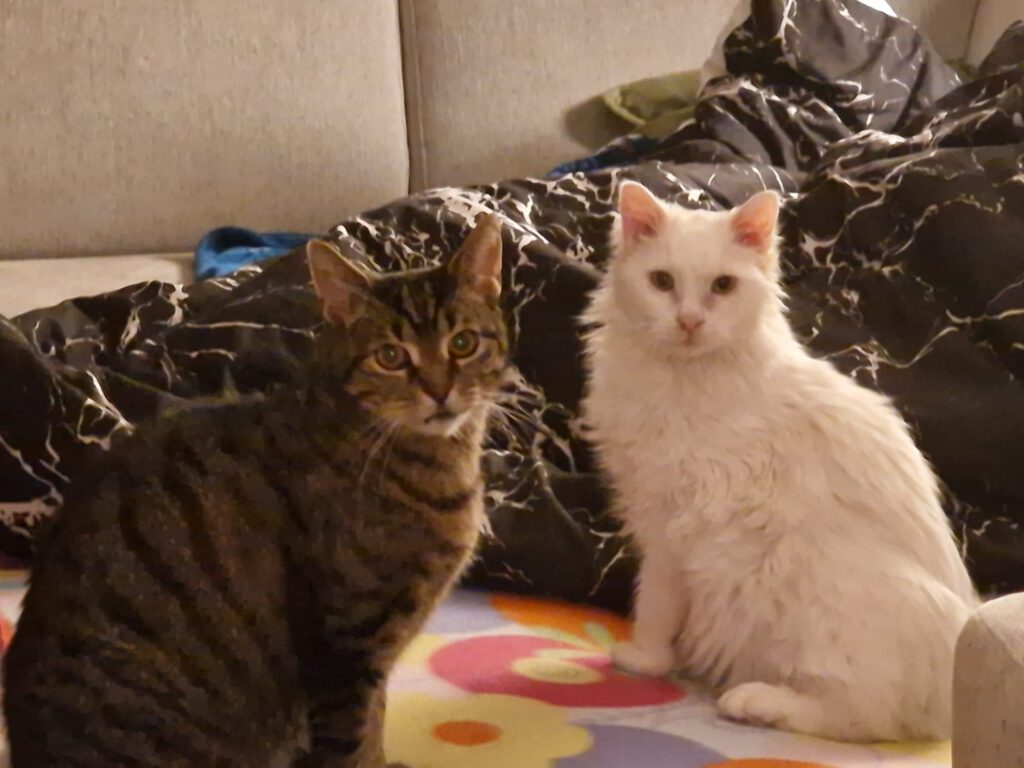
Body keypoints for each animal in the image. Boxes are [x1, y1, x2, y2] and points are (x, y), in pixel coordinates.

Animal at [3, 213, 509, 767]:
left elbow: (373, 728)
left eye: (462, 343)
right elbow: (354, 742)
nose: (440, 391)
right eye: (391, 356)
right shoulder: (345, 651)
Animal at [582, 181, 979, 742]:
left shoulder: (667, 530)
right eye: (661, 282)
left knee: (859, 717)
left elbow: (653, 605)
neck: (684, 378)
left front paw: (643, 658)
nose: (689, 322)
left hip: (820, 599)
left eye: (723, 286)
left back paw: (754, 701)